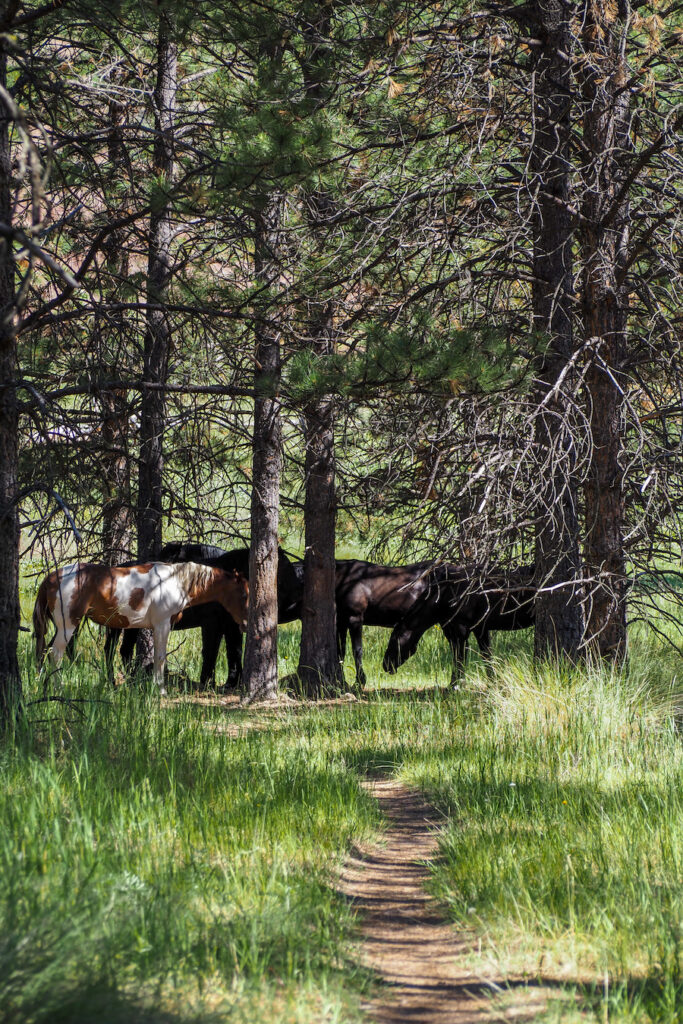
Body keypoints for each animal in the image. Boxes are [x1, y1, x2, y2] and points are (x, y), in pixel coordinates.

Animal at [33, 561, 249, 693]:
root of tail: (52, 577)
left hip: (62, 627)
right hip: (68, 626)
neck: (175, 581)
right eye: (244, 594)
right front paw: (160, 689)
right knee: (56, 653)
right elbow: (160, 657)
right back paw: (58, 687)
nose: (246, 624)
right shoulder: (162, 624)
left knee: (45, 651)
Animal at [106, 542, 303, 689]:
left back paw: (130, 679)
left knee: (124, 650)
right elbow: (211, 650)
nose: (297, 593)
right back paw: (113, 681)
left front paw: (232, 682)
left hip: (131, 625)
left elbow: (233, 650)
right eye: (281, 569)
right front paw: (208, 681)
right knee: (111, 649)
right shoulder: (212, 623)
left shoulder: (230, 625)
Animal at [382, 564, 535, 683]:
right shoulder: (478, 629)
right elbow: (486, 655)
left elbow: (460, 658)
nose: (385, 665)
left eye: (394, 640)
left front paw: (457, 684)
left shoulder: (461, 630)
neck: (444, 596)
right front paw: (492, 681)